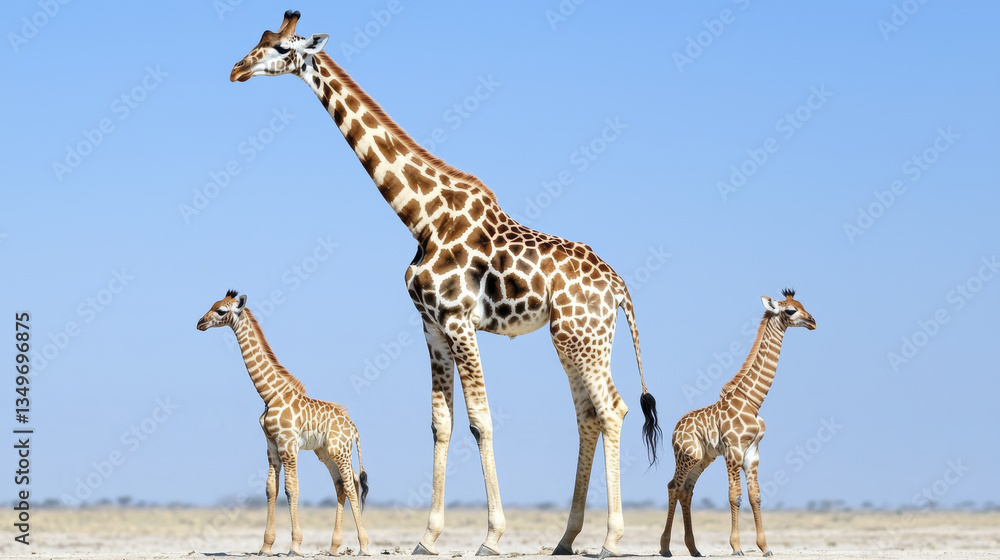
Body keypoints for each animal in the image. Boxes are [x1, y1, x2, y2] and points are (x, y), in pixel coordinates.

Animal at [197, 290, 371, 557]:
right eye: (212, 305)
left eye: (221, 310)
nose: (200, 323)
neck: (270, 394)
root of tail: (353, 428)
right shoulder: (271, 444)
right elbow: (271, 488)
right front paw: (266, 546)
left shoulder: (288, 444)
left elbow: (292, 488)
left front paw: (295, 546)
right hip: (326, 452)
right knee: (342, 484)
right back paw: (333, 547)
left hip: (339, 450)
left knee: (352, 486)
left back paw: (364, 546)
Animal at [230, 11, 661, 558]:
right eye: (261, 39)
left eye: (283, 48)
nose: (237, 70)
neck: (421, 217)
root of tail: (621, 287)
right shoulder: (431, 325)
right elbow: (442, 423)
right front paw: (428, 536)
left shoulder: (459, 321)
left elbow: (480, 419)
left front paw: (492, 536)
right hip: (570, 338)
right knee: (588, 413)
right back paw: (566, 538)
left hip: (583, 336)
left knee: (612, 409)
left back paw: (610, 537)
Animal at [659, 289, 816, 558]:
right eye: (791, 310)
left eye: (802, 304)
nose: (813, 322)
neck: (754, 401)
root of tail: (675, 429)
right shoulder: (733, 450)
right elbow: (735, 496)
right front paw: (736, 547)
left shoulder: (753, 452)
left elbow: (755, 496)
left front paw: (765, 547)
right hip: (687, 455)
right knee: (673, 487)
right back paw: (665, 547)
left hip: (704, 458)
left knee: (687, 490)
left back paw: (694, 549)